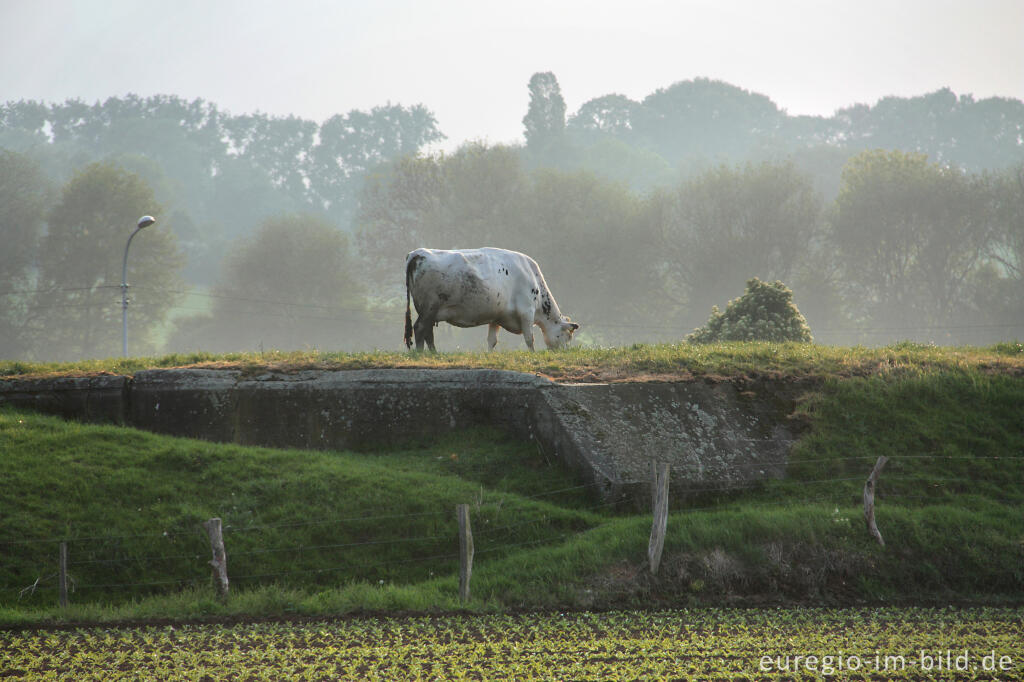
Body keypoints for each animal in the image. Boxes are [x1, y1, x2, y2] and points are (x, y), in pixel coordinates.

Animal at [403, 244, 581, 350]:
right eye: (568, 336)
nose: (564, 353)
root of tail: (418, 253)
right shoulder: (526, 311)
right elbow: (529, 338)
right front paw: (533, 354)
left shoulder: (497, 316)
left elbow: (492, 340)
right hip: (429, 307)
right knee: (420, 329)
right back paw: (421, 353)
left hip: (430, 311)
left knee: (428, 333)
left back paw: (434, 353)